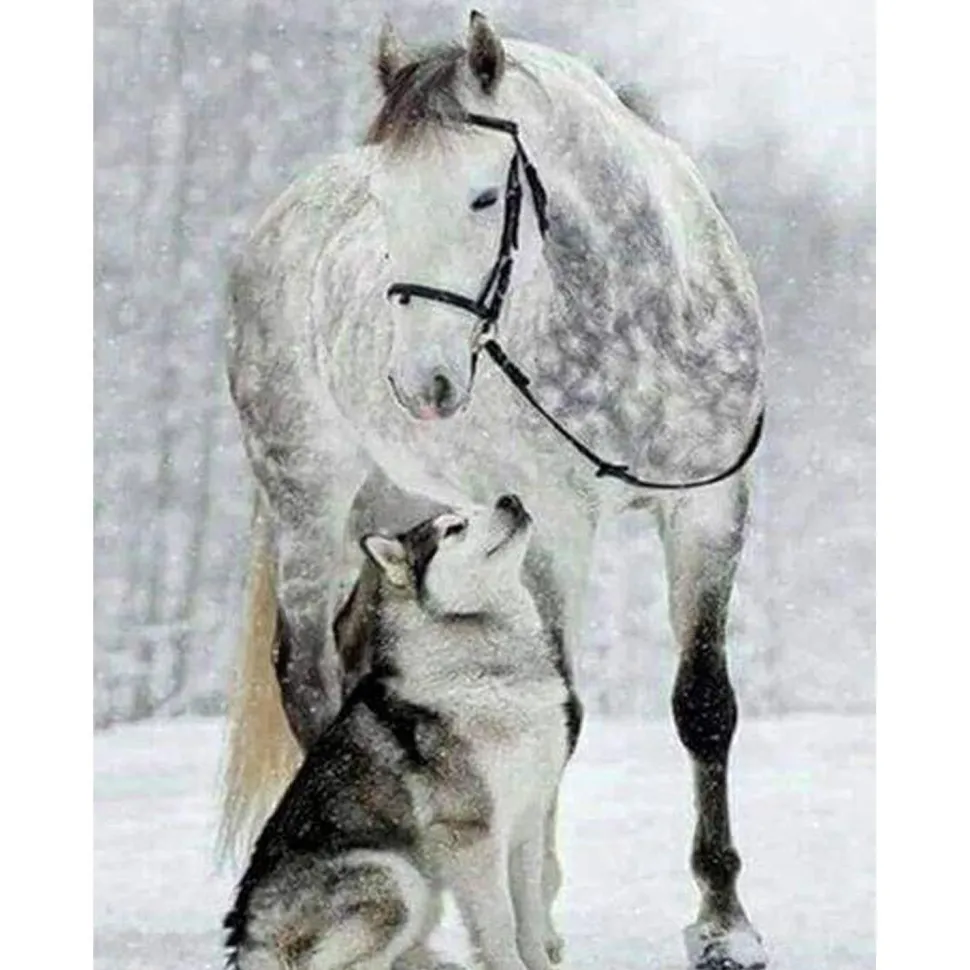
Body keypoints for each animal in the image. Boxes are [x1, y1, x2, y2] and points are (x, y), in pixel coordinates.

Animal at [224, 494, 583, 970]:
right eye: (454, 528)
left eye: (479, 505)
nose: (511, 498)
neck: (493, 671)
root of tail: (248, 936)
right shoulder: (472, 832)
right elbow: (501, 924)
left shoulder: (528, 816)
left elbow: (529, 913)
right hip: (397, 877)